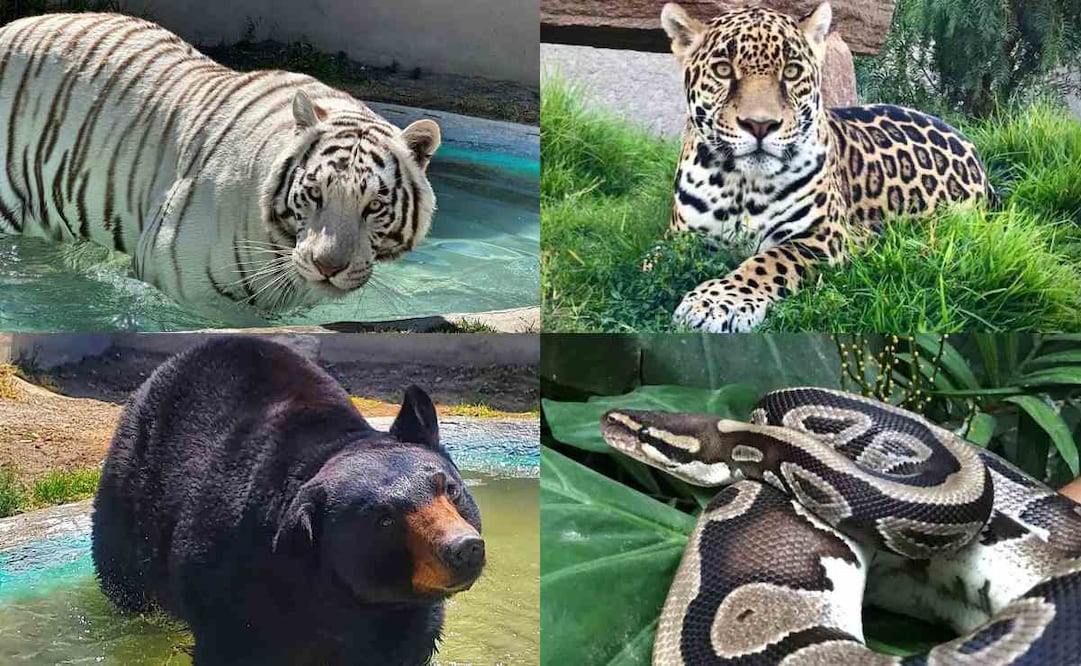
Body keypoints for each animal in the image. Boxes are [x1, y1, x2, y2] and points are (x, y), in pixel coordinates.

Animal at [91, 336, 485, 666]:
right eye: (384, 519)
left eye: (448, 488)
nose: (464, 548)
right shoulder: (230, 583)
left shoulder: (406, 619)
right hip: (131, 495)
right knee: (124, 578)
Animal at [659, 2, 992, 332]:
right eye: (723, 70)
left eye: (792, 71)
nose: (760, 125)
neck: (741, 183)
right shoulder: (681, 236)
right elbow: (653, 259)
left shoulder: (821, 238)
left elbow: (768, 262)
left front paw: (715, 302)